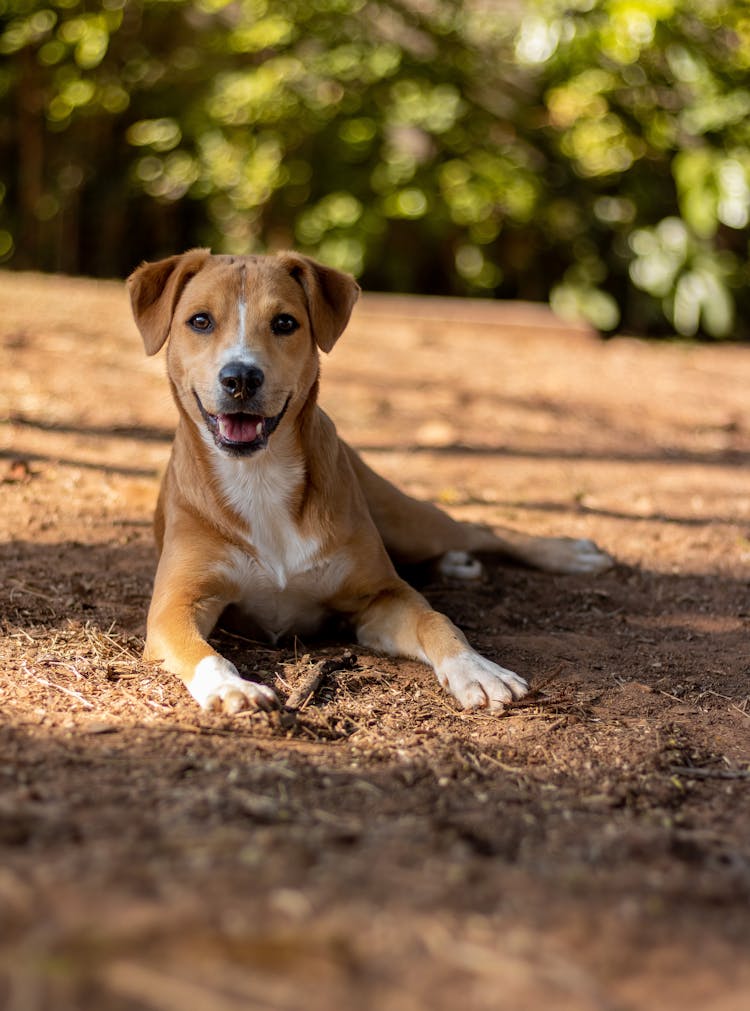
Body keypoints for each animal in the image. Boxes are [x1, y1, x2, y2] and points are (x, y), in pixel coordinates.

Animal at [129, 249, 610, 715]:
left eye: (284, 323)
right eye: (200, 321)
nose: (241, 378)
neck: (258, 477)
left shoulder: (381, 595)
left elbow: (436, 619)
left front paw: (476, 668)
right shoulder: (175, 607)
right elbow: (202, 652)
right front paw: (231, 687)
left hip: (405, 518)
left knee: (484, 529)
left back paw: (568, 554)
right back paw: (457, 563)